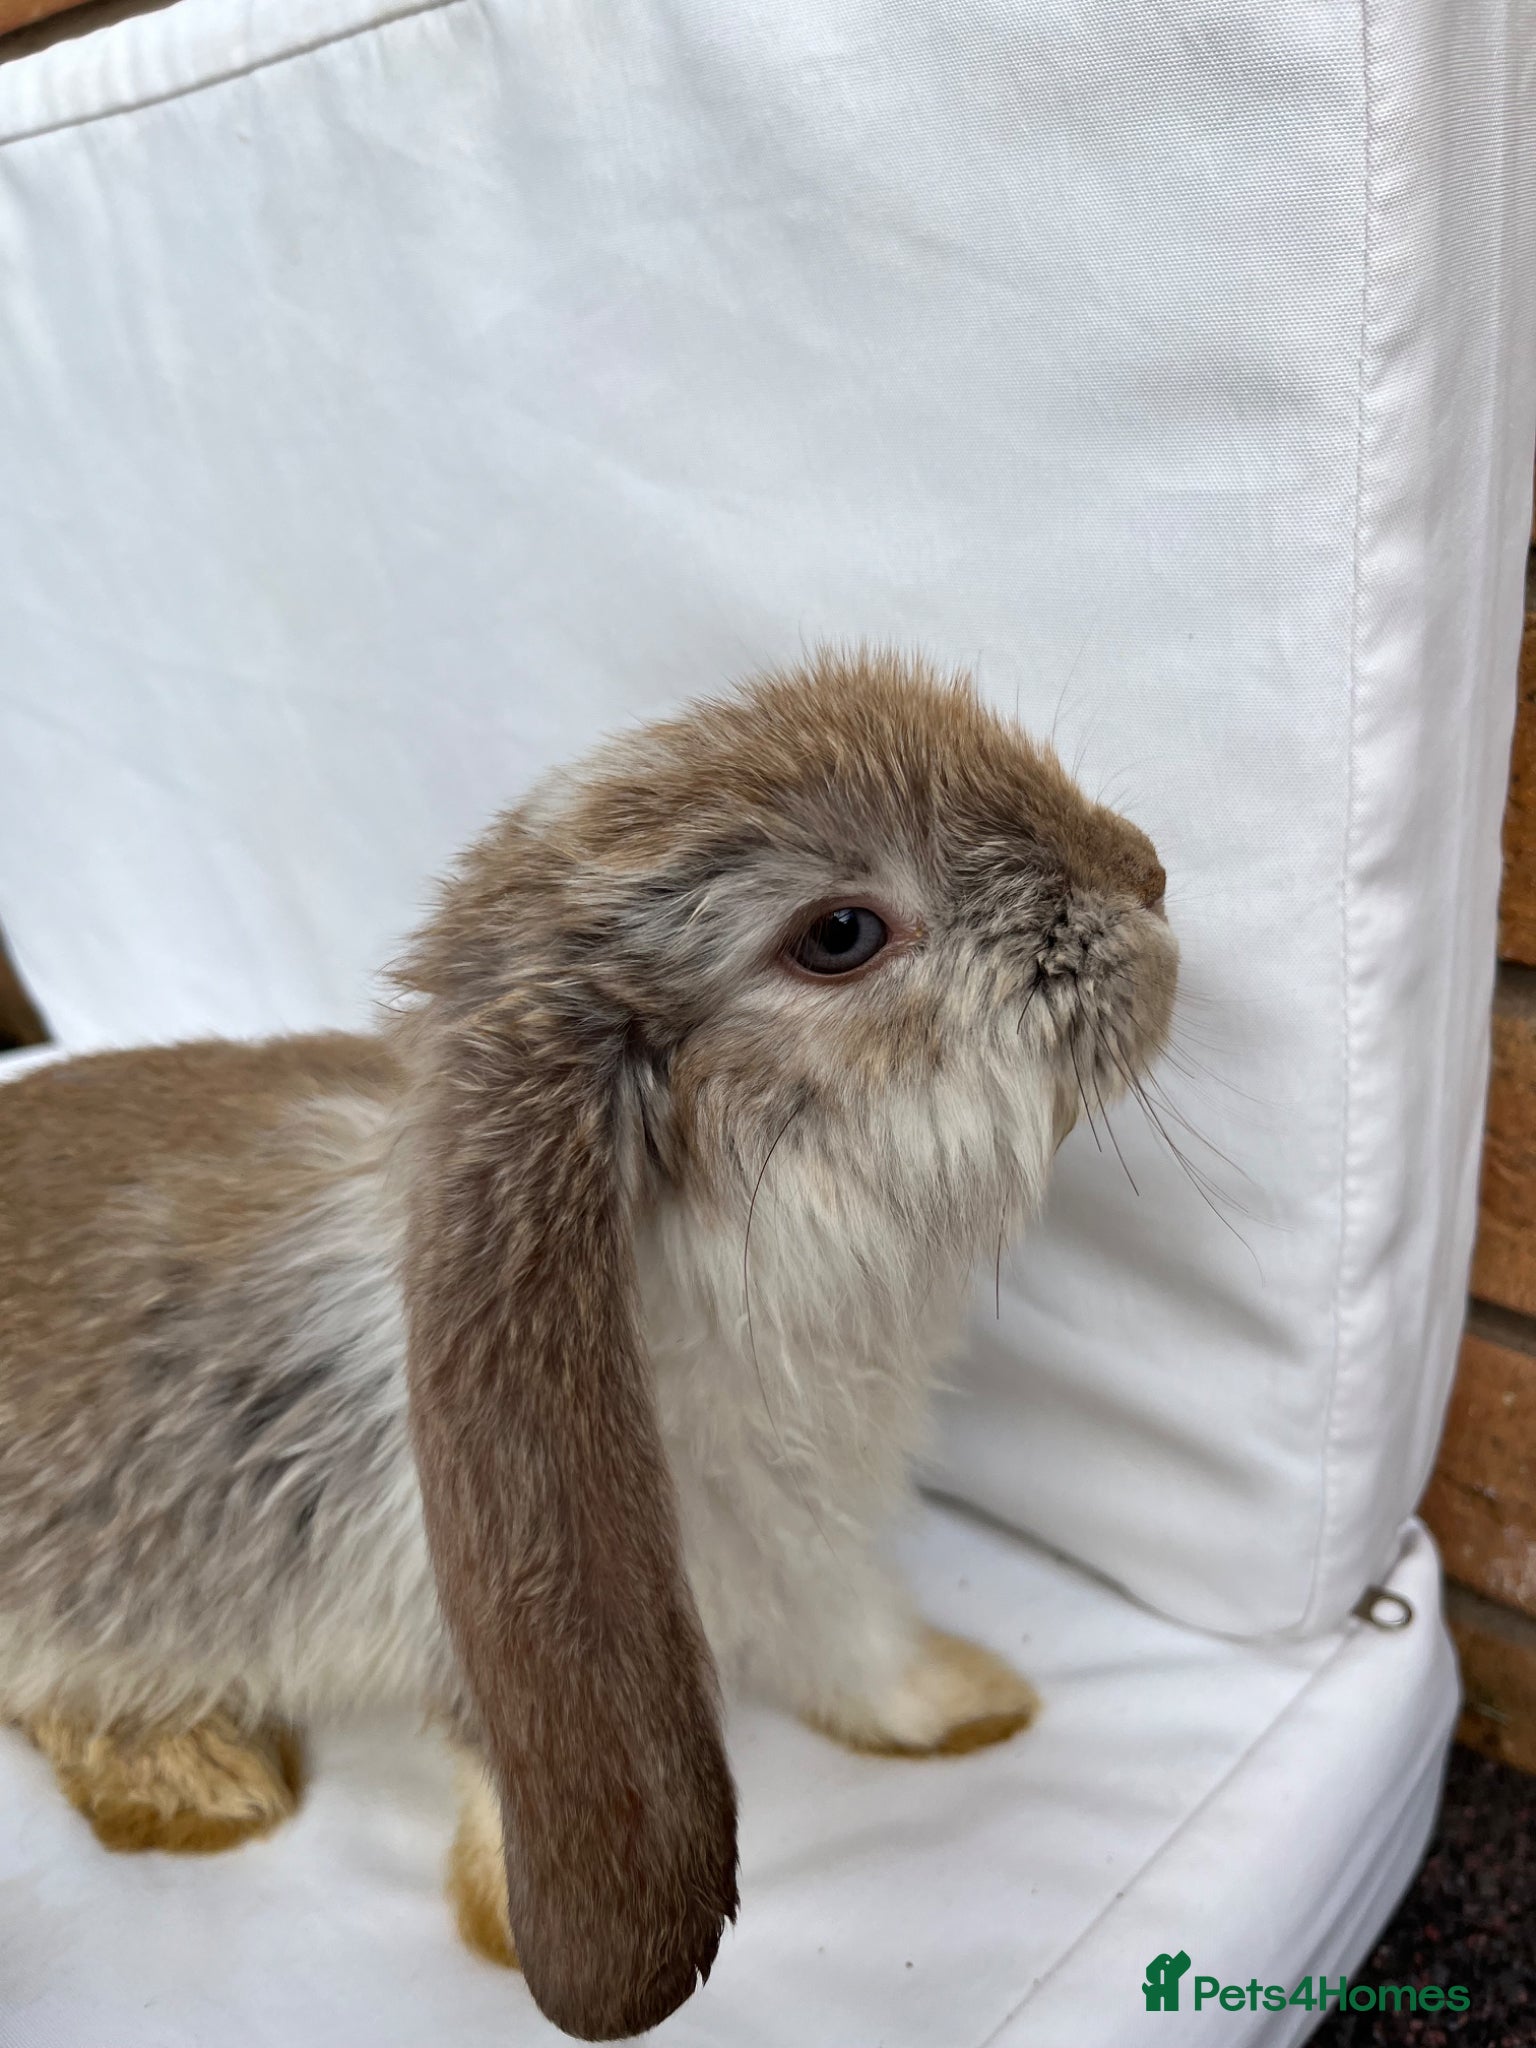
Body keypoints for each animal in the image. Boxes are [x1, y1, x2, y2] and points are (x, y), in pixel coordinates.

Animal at [0, 647, 1176, 2041]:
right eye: (839, 934)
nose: (1149, 877)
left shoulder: (807, 1536)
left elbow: (858, 1640)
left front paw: (969, 1702)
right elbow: (498, 1762)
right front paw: (508, 1932)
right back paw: (204, 1782)